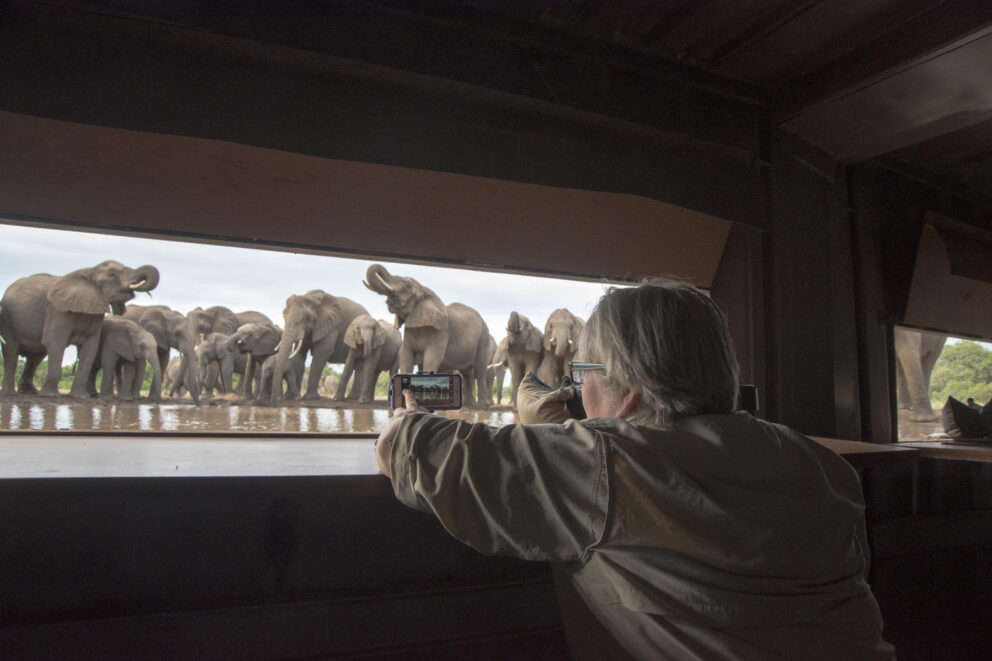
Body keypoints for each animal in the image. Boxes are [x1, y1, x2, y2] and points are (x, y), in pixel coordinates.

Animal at [0, 260, 159, 398]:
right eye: (112, 274)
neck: (89, 272)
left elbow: (90, 347)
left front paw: (80, 397)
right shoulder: (57, 309)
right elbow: (55, 342)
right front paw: (51, 395)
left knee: (36, 355)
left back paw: (30, 392)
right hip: (8, 320)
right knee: (11, 352)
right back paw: (11, 393)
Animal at [363, 264, 492, 408]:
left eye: (408, 285)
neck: (425, 290)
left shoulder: (441, 332)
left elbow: (431, 357)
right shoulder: (410, 330)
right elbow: (406, 356)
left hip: (484, 339)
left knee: (480, 371)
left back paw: (481, 407)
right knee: (467, 373)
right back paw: (469, 407)